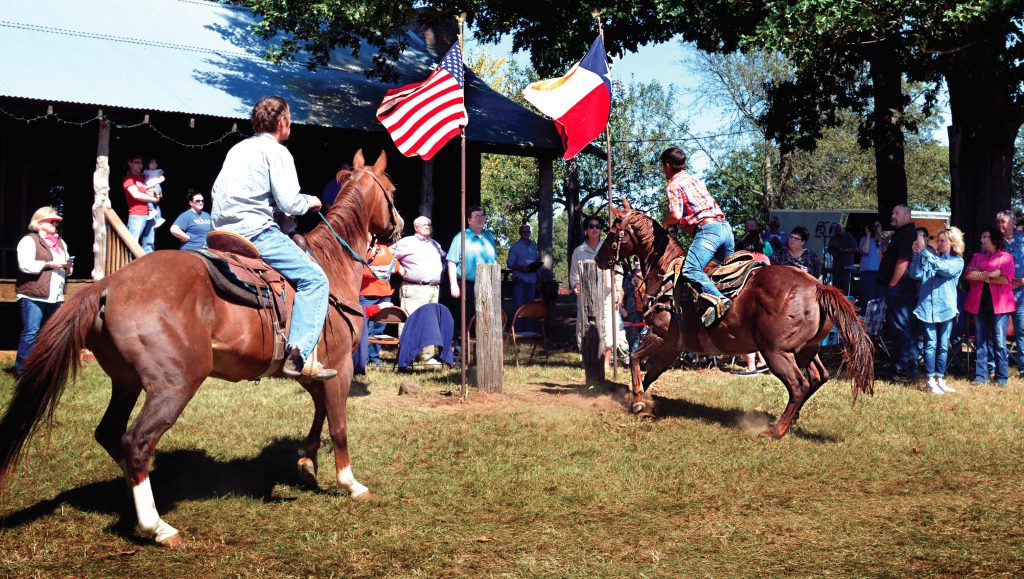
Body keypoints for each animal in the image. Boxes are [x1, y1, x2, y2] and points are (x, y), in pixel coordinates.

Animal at [0, 148, 399, 545]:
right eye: (392, 190)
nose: (397, 226)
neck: (332, 266)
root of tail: (106, 286)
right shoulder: (340, 365)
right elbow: (338, 424)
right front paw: (350, 483)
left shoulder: (314, 371)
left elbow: (320, 412)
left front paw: (307, 462)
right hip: (175, 384)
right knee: (136, 442)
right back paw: (157, 526)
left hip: (126, 381)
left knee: (111, 434)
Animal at [598, 204, 876, 436]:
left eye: (611, 233)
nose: (600, 259)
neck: (665, 272)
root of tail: (818, 287)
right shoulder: (673, 346)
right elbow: (651, 373)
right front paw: (641, 401)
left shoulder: (659, 335)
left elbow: (634, 358)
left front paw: (637, 401)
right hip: (806, 349)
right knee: (819, 376)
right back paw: (791, 419)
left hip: (777, 352)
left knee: (798, 385)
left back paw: (775, 431)